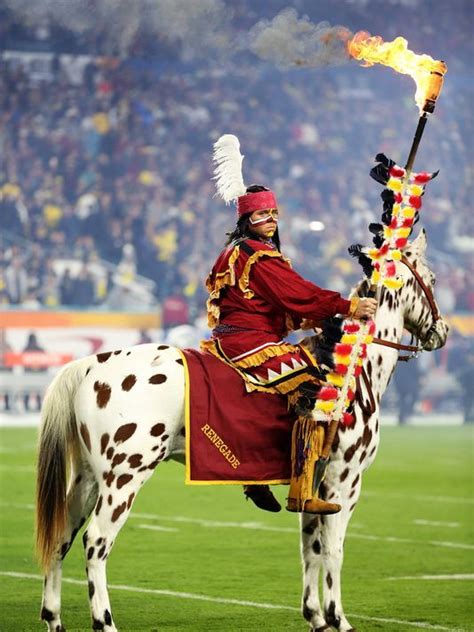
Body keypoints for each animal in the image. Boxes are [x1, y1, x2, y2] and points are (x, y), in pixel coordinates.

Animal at [35, 231, 446, 632]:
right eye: (432, 279)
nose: (441, 331)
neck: (350, 369)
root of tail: (91, 365)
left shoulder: (312, 487)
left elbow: (310, 547)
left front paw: (316, 616)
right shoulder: (343, 481)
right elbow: (334, 549)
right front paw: (337, 618)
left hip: (87, 480)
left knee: (60, 537)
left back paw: (54, 616)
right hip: (124, 478)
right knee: (95, 542)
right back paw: (104, 621)